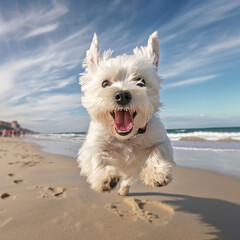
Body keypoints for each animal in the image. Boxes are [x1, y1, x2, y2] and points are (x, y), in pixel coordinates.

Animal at [78, 31, 173, 196]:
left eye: (141, 81)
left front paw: (157, 174)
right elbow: (96, 155)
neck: (126, 138)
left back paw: (123, 190)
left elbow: (160, 150)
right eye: (105, 83)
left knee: (127, 180)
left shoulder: (160, 138)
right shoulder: (93, 144)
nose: (122, 95)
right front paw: (104, 177)